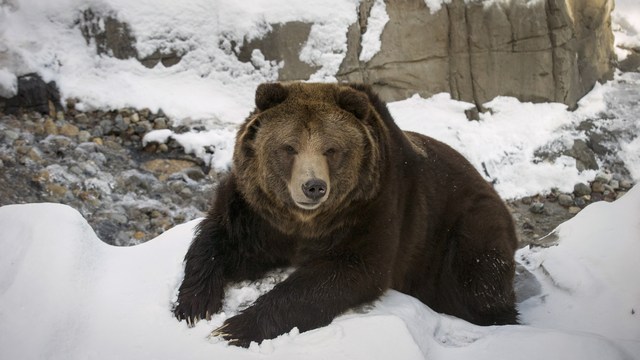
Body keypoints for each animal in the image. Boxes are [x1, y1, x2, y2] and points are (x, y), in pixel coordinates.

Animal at [174, 81, 520, 346]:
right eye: (289, 147)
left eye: (331, 149)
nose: (313, 187)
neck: (304, 222)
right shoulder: (259, 212)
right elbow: (220, 239)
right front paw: (195, 305)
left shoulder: (372, 207)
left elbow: (345, 272)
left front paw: (235, 328)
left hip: (466, 224)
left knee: (478, 279)